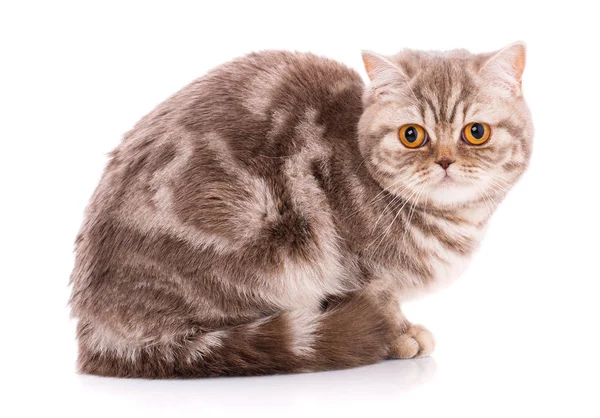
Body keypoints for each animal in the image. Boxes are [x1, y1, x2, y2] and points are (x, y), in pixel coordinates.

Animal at [70, 43, 536, 378]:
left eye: (475, 132)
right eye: (411, 135)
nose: (444, 162)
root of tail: (93, 329)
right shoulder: (354, 266)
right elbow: (383, 300)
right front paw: (400, 335)